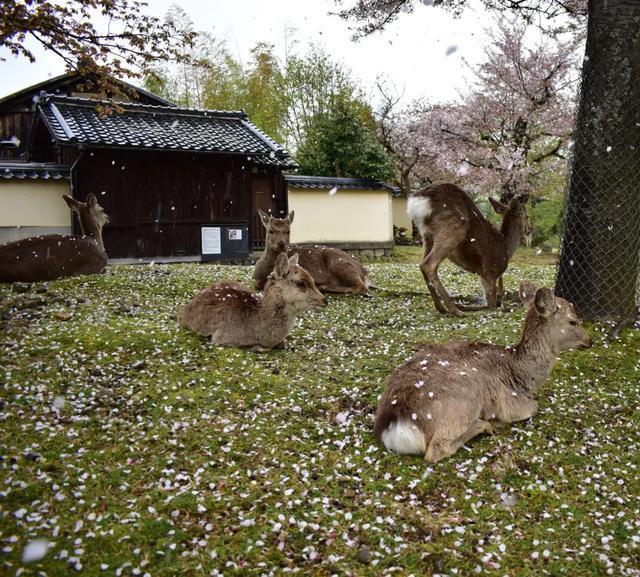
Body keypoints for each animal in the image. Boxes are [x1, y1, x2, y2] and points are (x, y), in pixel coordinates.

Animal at [181, 253, 328, 352]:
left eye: (312, 279)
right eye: (301, 283)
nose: (324, 300)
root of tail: (182, 311)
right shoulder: (222, 337)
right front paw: (256, 348)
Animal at [372, 280, 592, 464]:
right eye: (573, 321)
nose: (590, 340)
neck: (524, 378)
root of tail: (395, 421)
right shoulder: (510, 402)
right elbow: (534, 407)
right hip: (465, 399)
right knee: (436, 449)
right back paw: (485, 425)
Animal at [408, 182, 532, 316]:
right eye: (527, 216)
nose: (530, 229)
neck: (506, 248)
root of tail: (418, 201)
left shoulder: (482, 275)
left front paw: (463, 305)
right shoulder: (490, 273)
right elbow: (491, 305)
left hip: (427, 236)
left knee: (422, 264)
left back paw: (441, 308)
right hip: (454, 229)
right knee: (428, 265)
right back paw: (455, 310)